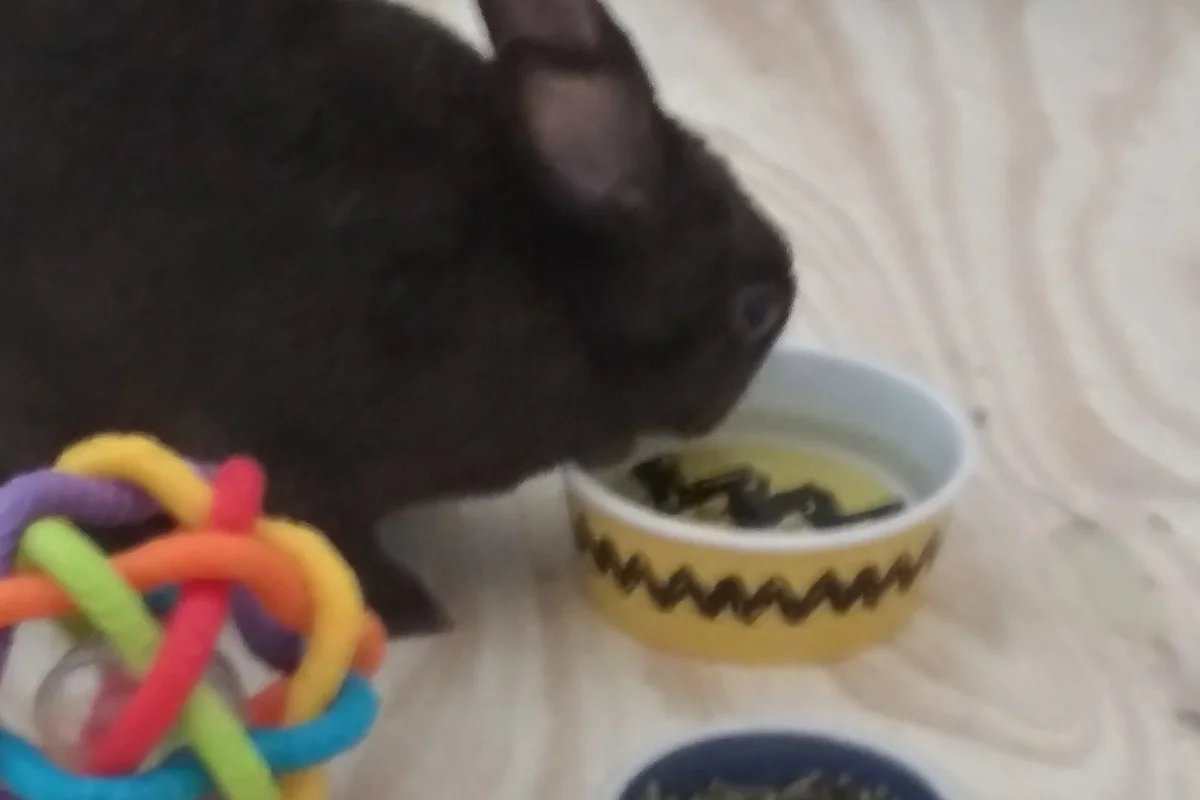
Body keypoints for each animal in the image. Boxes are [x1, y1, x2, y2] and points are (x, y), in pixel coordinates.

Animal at [0, 0, 796, 637]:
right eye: (754, 313)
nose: (717, 416)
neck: (554, 280)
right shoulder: (297, 453)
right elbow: (335, 539)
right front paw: (416, 613)